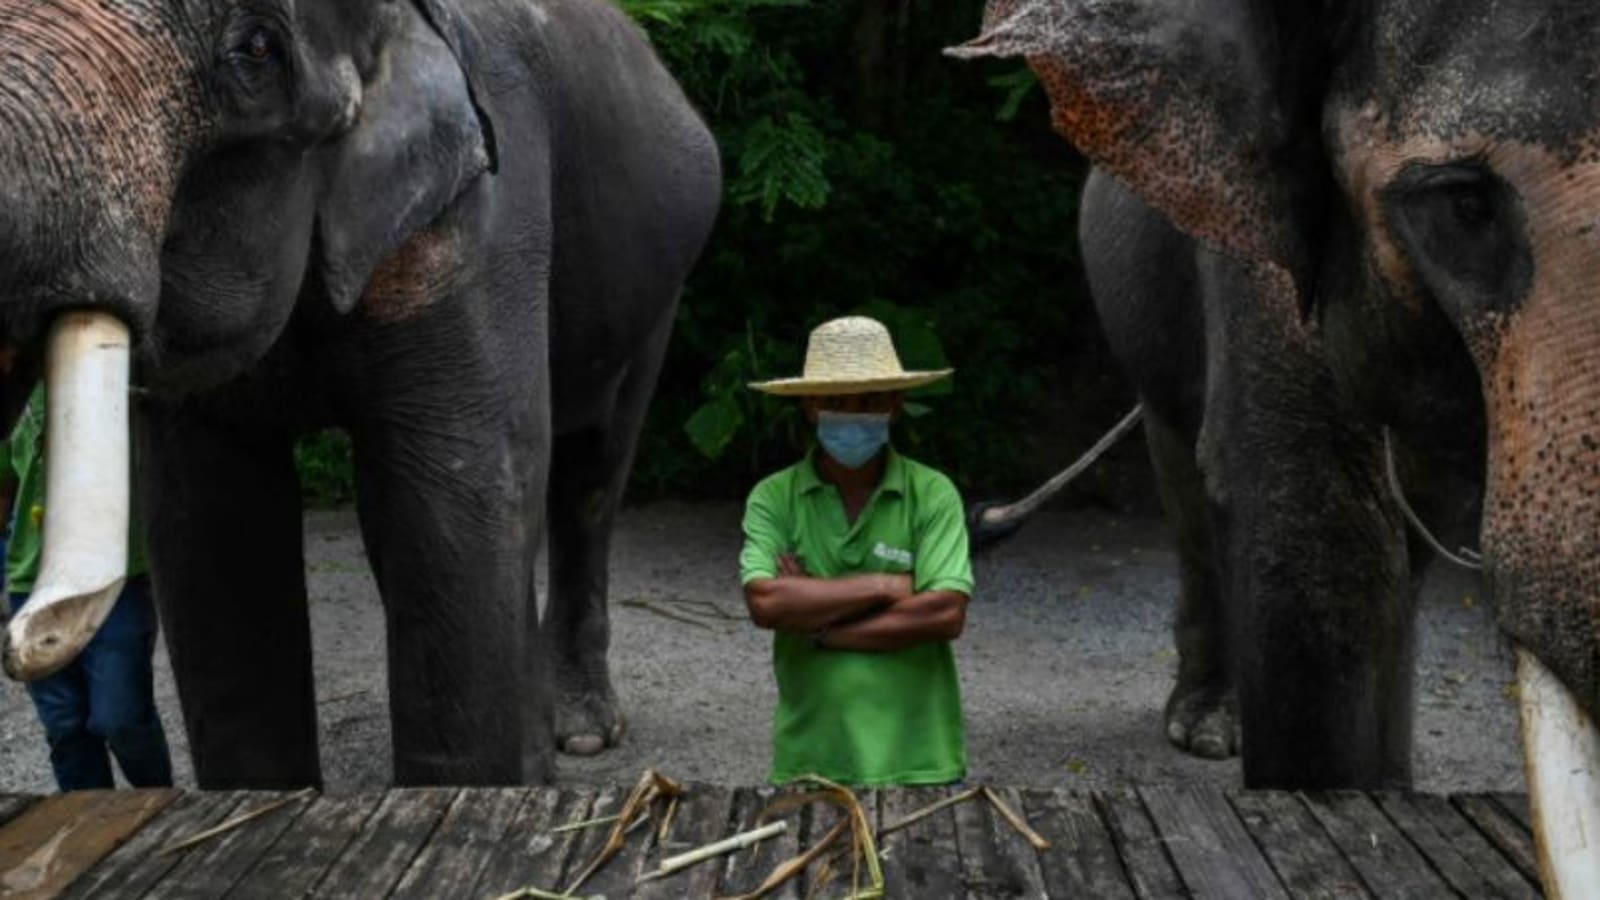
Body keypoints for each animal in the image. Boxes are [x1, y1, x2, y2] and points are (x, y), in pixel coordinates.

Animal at [0, 0, 720, 788]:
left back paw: (582, 734)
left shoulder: (480, 217)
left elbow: (461, 498)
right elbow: (209, 527)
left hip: (660, 290)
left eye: (255, 50)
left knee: (592, 471)